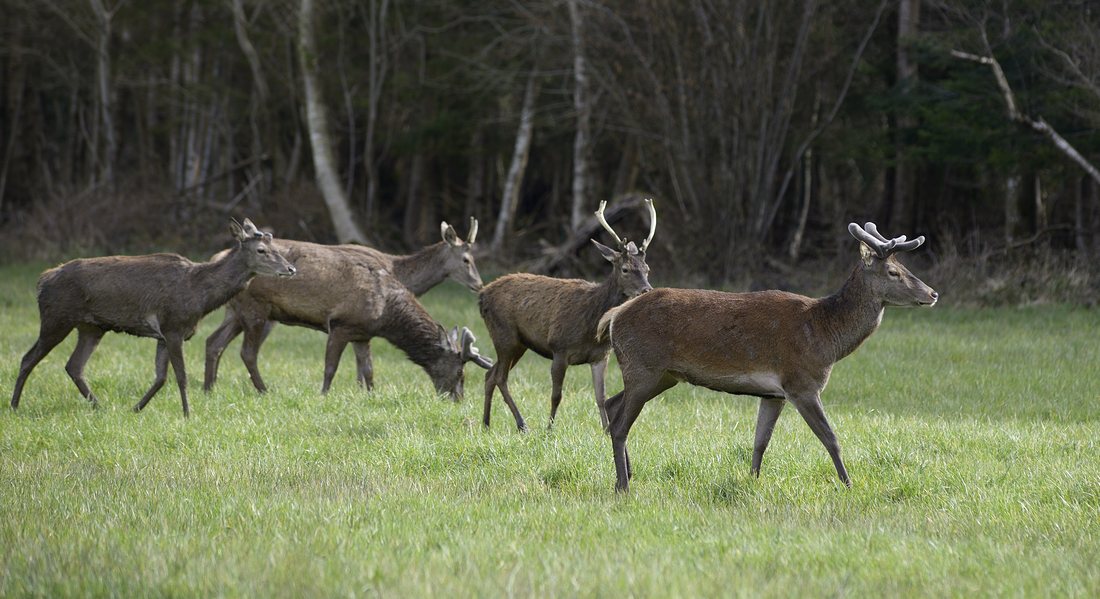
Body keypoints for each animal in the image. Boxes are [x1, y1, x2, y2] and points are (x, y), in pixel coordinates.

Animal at [8, 218, 299, 415]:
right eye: (261, 250)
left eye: (274, 242)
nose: (290, 269)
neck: (199, 295)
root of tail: (42, 281)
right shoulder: (173, 327)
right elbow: (181, 376)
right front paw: (188, 414)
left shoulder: (164, 335)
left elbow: (161, 377)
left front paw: (136, 408)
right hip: (56, 318)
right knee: (28, 358)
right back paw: (14, 405)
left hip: (91, 327)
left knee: (74, 365)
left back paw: (99, 406)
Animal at [205, 217, 481, 389]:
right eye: (466, 259)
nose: (479, 284)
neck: (400, 274)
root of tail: (217, 255)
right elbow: (351, 367)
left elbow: (364, 367)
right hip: (259, 311)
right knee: (247, 352)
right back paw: (260, 389)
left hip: (235, 312)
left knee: (214, 342)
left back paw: (210, 387)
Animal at [479, 200, 651, 430]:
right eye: (625, 269)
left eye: (647, 269)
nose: (647, 290)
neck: (591, 326)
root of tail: (482, 295)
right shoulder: (559, 348)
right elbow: (556, 395)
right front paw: (550, 428)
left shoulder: (600, 356)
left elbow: (601, 396)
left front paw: (606, 430)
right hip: (504, 334)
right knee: (500, 377)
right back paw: (522, 424)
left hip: (519, 343)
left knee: (490, 374)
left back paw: (486, 423)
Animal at [598, 223, 941, 490]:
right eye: (894, 272)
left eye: (904, 268)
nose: (933, 293)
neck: (825, 336)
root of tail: (614, 315)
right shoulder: (801, 383)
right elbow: (831, 438)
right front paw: (848, 485)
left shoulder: (773, 393)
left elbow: (760, 441)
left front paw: (752, 481)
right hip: (644, 366)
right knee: (620, 424)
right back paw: (623, 485)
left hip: (661, 375)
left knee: (612, 405)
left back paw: (626, 475)